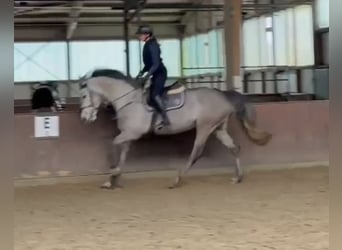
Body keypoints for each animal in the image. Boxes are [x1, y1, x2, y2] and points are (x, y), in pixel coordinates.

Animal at [79, 69, 272, 188]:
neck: (128, 99)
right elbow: (122, 154)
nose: (84, 118)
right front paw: (113, 179)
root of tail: (223, 95)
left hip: (205, 126)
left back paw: (177, 179)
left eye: (83, 95)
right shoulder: (128, 135)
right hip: (219, 128)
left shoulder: (131, 133)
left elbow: (112, 145)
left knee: (197, 152)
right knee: (234, 148)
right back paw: (238, 177)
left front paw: (113, 174)